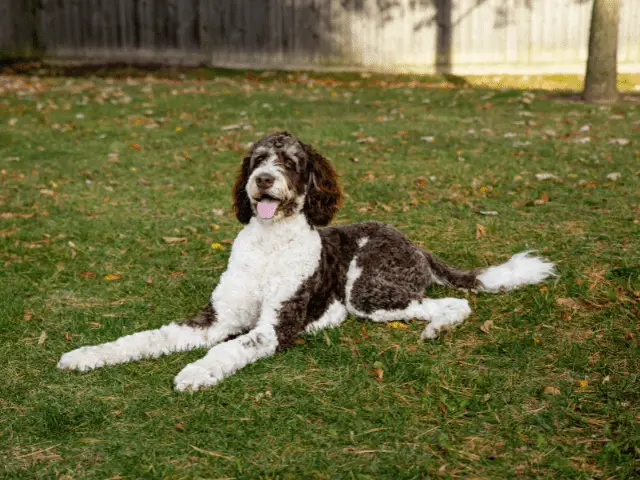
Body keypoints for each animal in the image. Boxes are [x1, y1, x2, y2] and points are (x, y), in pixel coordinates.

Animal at [58, 130, 556, 390]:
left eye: (291, 163)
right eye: (257, 159)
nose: (262, 179)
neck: (268, 246)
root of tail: (413, 244)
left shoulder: (274, 326)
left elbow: (230, 348)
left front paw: (197, 371)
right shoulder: (214, 319)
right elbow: (144, 338)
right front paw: (89, 354)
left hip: (368, 292)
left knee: (452, 303)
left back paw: (436, 328)